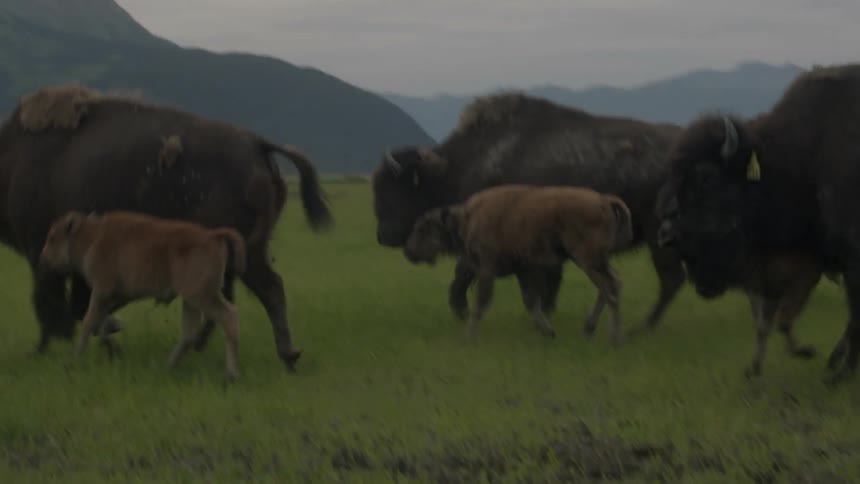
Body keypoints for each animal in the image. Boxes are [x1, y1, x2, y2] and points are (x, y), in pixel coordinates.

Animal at [0, 84, 332, 371]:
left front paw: (43, 349)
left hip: (245, 252)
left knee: (266, 290)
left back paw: (285, 355)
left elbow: (52, 303)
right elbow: (79, 304)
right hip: (241, 252)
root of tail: (258, 144)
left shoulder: (42, 255)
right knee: (243, 294)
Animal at [373, 92, 684, 333]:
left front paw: (460, 309)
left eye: (391, 189)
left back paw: (641, 328)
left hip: (658, 238)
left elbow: (465, 270)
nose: (382, 236)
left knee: (670, 280)